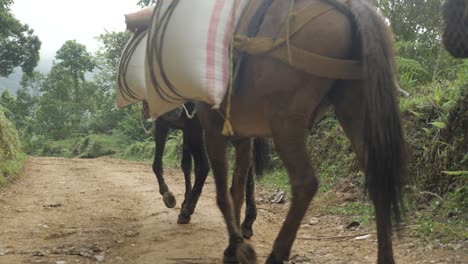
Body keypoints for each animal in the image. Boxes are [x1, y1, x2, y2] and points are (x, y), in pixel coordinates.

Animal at [190, 0, 406, 264]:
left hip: (286, 124)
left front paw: (236, 247)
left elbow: (223, 194)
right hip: (356, 112)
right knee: (378, 181)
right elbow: (236, 191)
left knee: (305, 183)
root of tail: (348, 6)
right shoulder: (243, 137)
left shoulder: (212, 129)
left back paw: (277, 254)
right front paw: (235, 245)